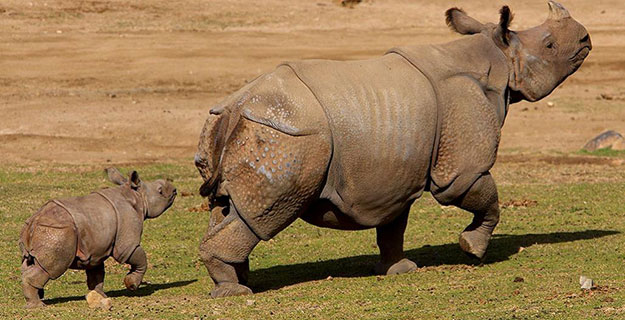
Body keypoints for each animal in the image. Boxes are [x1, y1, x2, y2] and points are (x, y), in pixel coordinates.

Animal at [18, 169, 176, 308]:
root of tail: (33, 222)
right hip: (58, 232)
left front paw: (100, 296)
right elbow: (139, 258)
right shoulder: (127, 242)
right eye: (160, 191)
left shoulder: (95, 249)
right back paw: (38, 306)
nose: (174, 189)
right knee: (52, 268)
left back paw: (37, 298)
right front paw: (131, 284)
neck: (136, 195)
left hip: (41, 231)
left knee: (29, 263)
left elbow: (96, 274)